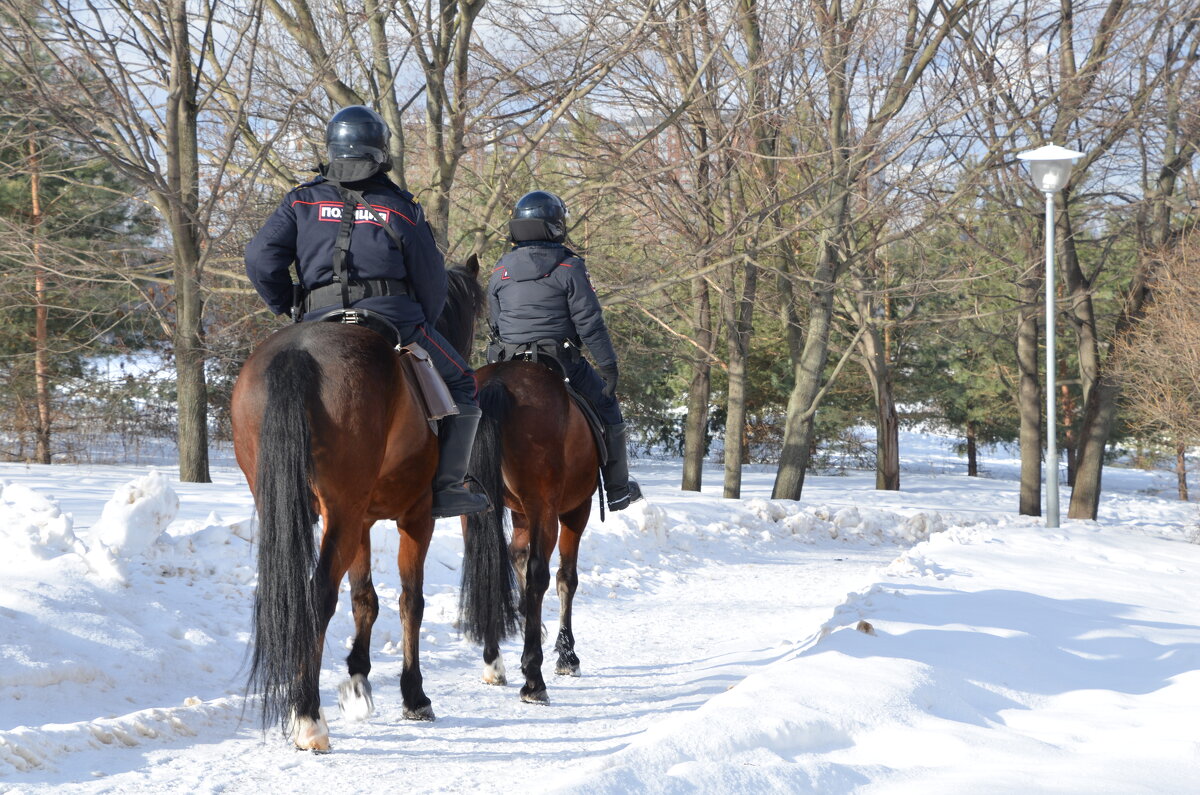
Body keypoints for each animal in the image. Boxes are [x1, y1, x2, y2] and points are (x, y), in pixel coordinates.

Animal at [229, 258, 492, 749]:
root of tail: (302, 353)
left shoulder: (362, 520)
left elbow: (365, 598)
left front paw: (357, 679)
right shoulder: (416, 517)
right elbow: (411, 601)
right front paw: (414, 695)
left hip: (318, 512)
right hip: (349, 515)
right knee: (318, 596)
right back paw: (308, 717)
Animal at [453, 360, 600, 706]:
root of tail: (497, 379)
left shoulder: (519, 513)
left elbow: (515, 557)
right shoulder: (577, 509)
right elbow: (566, 578)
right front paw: (566, 656)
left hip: (476, 507)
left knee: (488, 570)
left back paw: (494, 664)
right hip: (545, 508)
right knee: (539, 576)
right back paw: (534, 679)